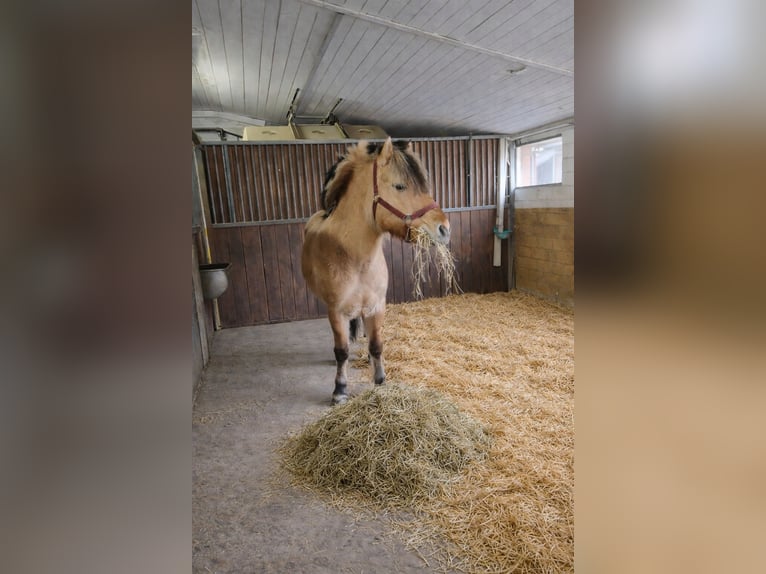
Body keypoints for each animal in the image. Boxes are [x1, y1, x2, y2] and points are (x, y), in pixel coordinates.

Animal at [301, 137, 451, 404]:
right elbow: (341, 351)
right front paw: (340, 389)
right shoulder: (336, 311)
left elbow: (377, 345)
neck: (356, 259)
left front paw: (380, 381)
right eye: (400, 186)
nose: (444, 229)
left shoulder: (377, 306)